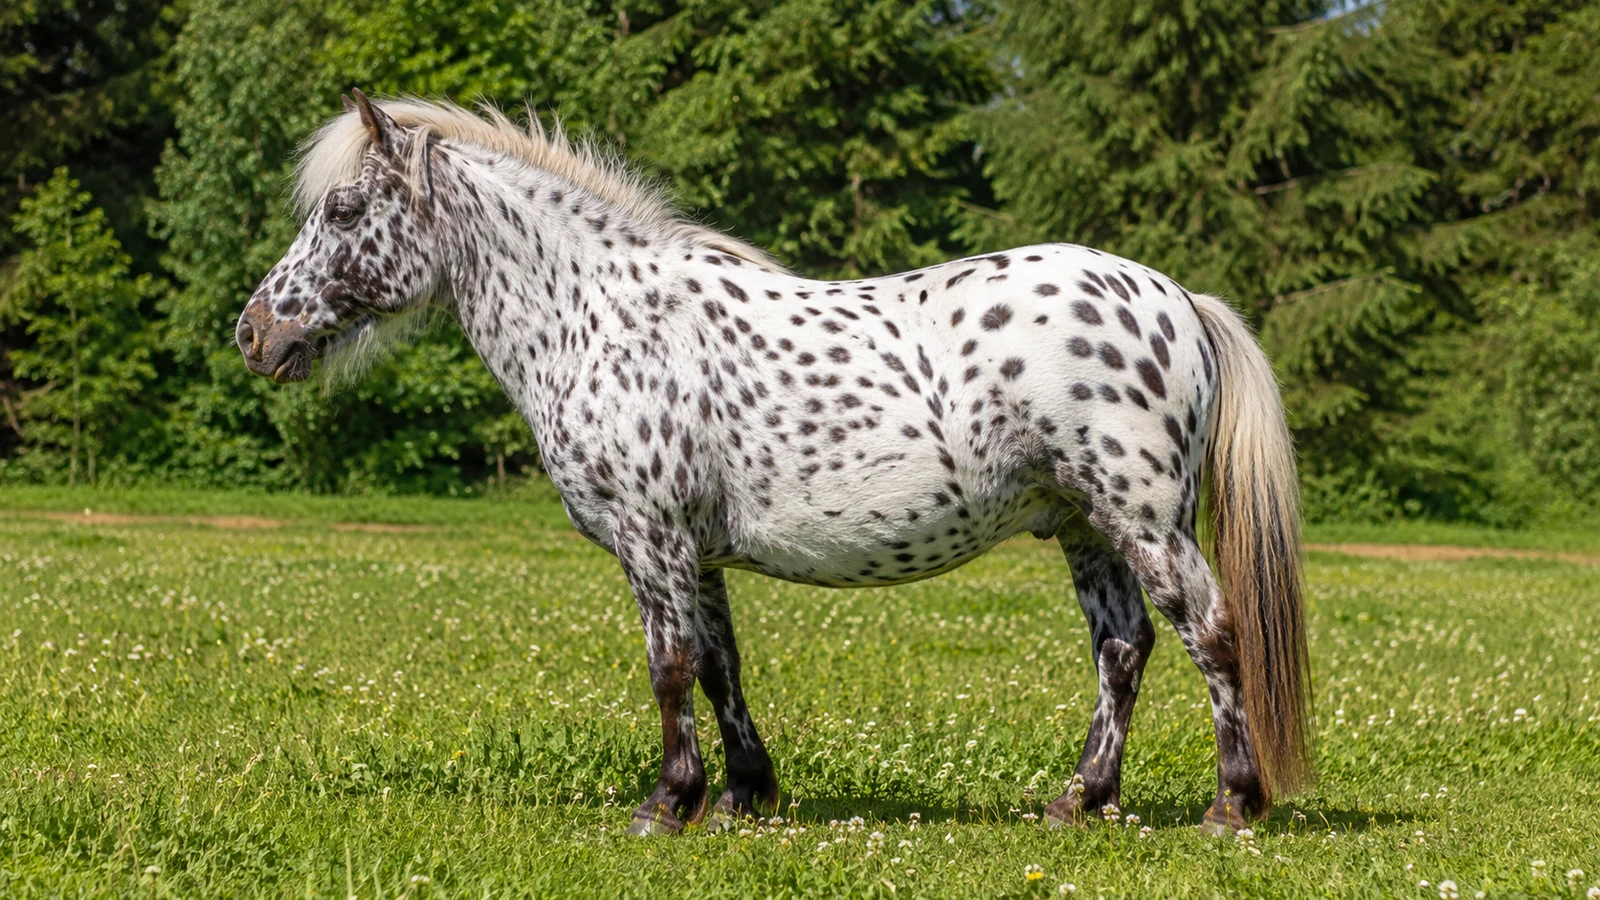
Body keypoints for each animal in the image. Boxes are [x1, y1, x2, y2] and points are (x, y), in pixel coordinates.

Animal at [235, 91, 1312, 836]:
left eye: (343, 210)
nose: (254, 334)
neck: (599, 319)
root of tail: (1174, 298)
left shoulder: (652, 542)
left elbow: (668, 668)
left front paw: (666, 804)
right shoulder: (696, 555)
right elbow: (719, 666)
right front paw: (744, 795)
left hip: (1144, 521)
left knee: (1212, 635)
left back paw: (1231, 806)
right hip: (1086, 527)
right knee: (1122, 651)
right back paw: (1079, 800)